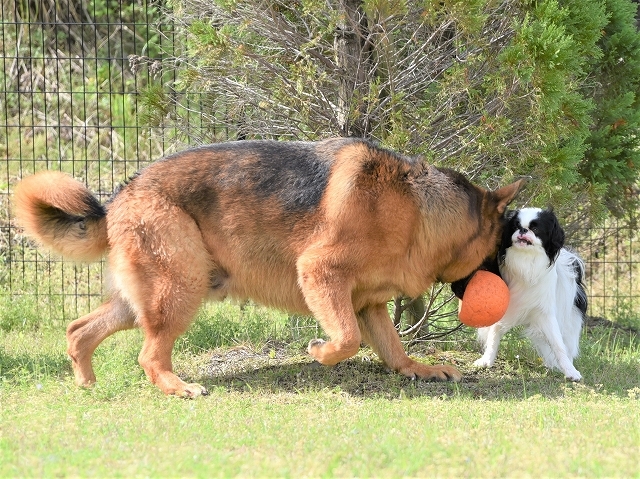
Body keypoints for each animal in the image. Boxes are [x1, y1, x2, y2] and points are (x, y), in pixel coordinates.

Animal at [13, 139, 524, 398]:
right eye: (498, 252)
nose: (505, 289)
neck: (417, 209)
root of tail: (121, 193)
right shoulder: (320, 272)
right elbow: (347, 339)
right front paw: (320, 353)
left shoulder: (369, 304)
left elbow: (392, 347)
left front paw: (418, 369)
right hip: (180, 289)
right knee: (148, 356)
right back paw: (178, 387)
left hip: (148, 297)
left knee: (79, 330)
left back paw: (87, 385)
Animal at [452, 208, 588, 380]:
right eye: (515, 226)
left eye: (535, 228)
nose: (523, 230)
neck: (525, 262)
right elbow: (494, 334)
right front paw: (487, 361)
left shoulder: (545, 313)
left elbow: (558, 344)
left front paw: (570, 371)